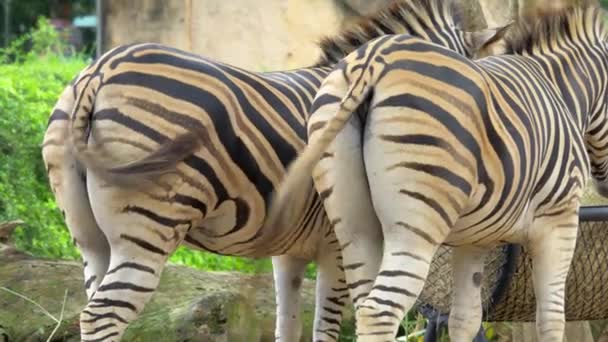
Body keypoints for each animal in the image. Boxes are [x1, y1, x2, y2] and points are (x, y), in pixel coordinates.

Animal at [40, 1, 502, 340]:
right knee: (102, 316)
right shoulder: (336, 244)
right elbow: (327, 327)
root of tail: (98, 72)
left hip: (90, 240)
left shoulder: (289, 248)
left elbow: (288, 326)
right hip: (146, 230)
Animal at [262, 1, 608, 340]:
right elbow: (551, 319)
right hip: (414, 227)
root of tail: (372, 60)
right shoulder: (559, 220)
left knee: (360, 305)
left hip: (353, 226)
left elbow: (464, 319)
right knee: (380, 311)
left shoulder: (475, 240)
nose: (602, 188)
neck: (561, 93)